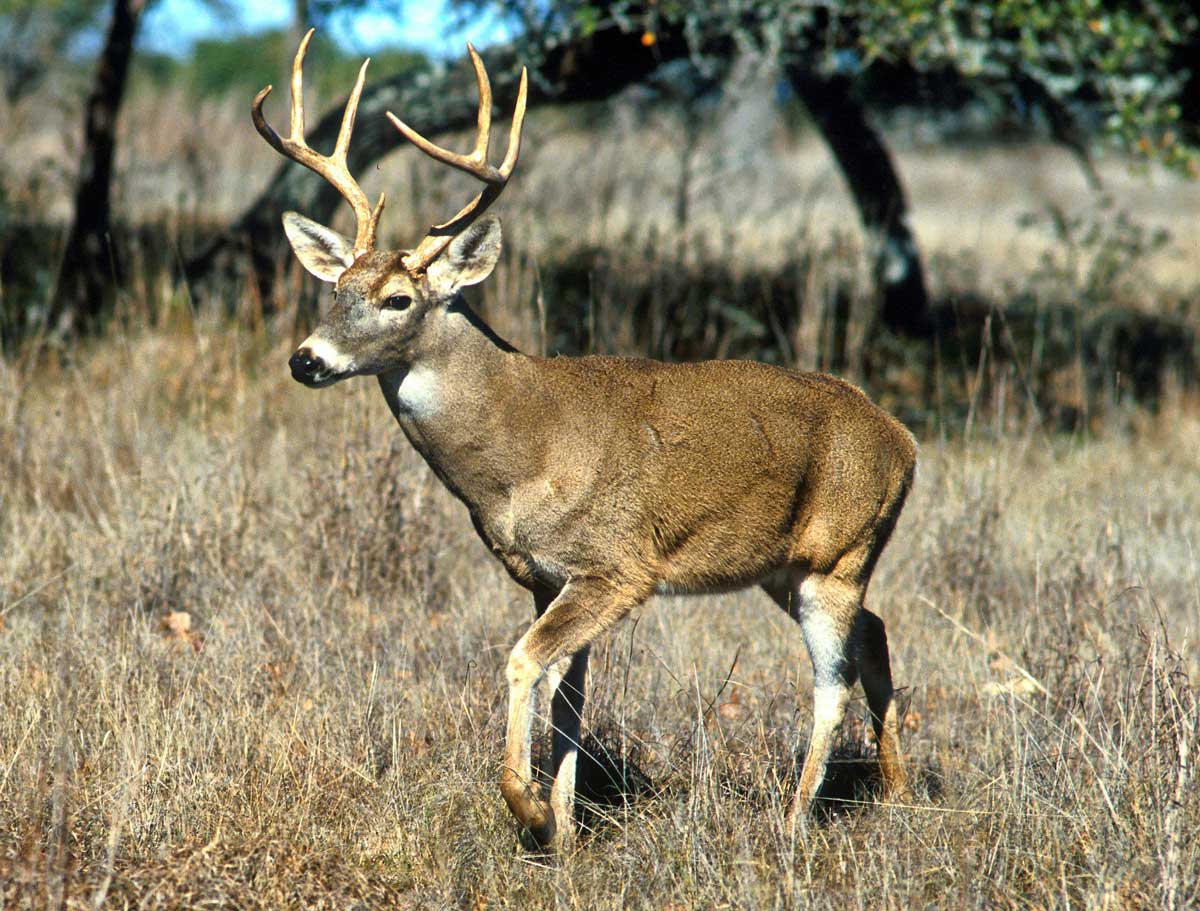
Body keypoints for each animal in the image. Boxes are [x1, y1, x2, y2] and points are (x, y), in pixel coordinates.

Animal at [255, 30, 916, 854]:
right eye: (335, 288)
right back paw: (898, 794)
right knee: (876, 635)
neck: (521, 449)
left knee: (833, 680)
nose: (306, 360)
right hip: (788, 565)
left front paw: (530, 809)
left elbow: (522, 662)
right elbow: (569, 695)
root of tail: (904, 440)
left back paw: (792, 823)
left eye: (398, 298)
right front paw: (566, 830)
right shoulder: (547, 575)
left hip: (838, 553)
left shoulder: (617, 566)